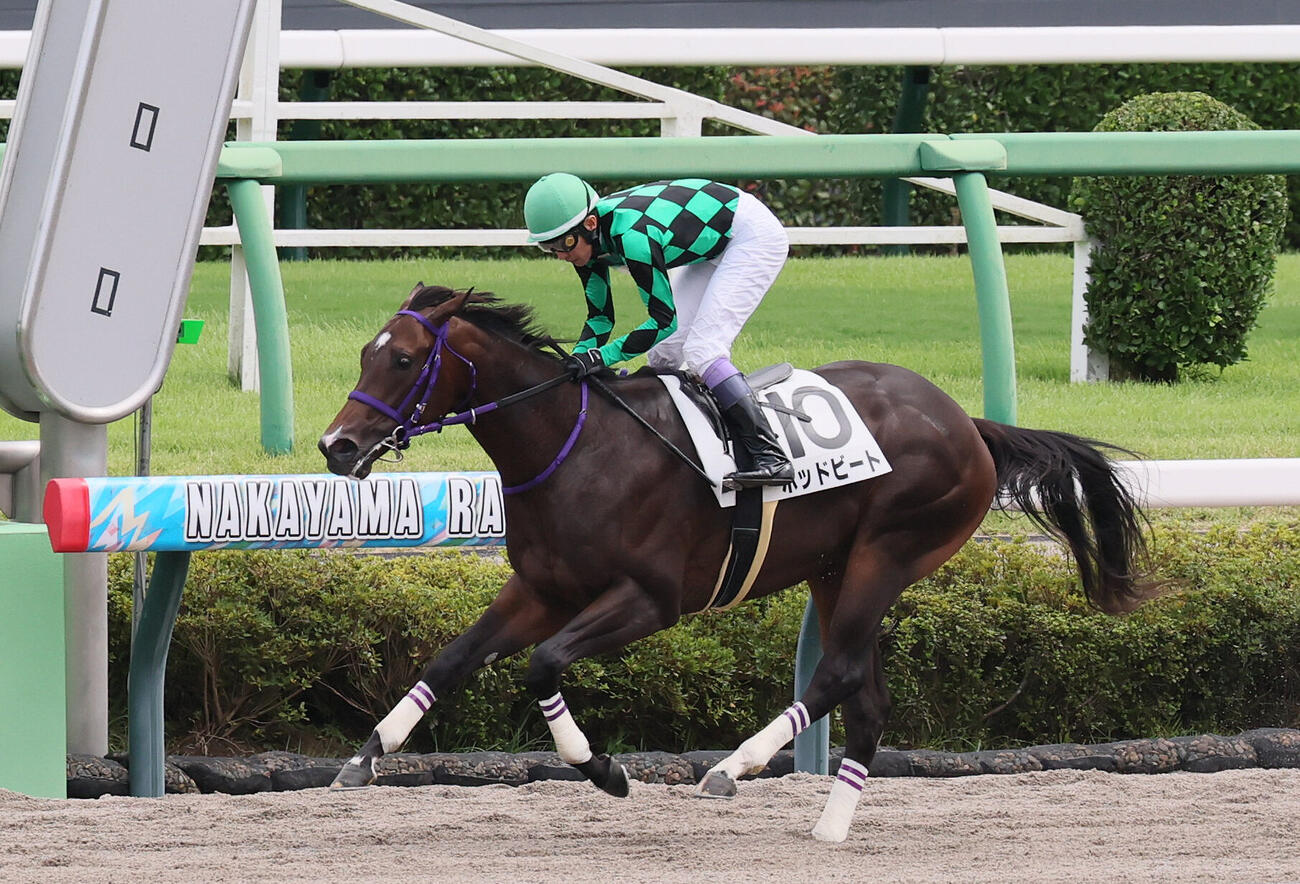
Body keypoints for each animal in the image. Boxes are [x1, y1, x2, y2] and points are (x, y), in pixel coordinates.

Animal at [318, 283, 1151, 843]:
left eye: (403, 359)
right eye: (362, 353)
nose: (336, 446)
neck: (575, 447)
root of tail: (969, 424)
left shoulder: (650, 599)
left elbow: (545, 664)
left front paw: (604, 769)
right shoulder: (542, 588)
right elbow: (453, 658)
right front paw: (368, 755)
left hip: (890, 551)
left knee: (838, 675)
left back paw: (732, 768)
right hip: (836, 567)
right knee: (865, 696)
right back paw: (830, 827)